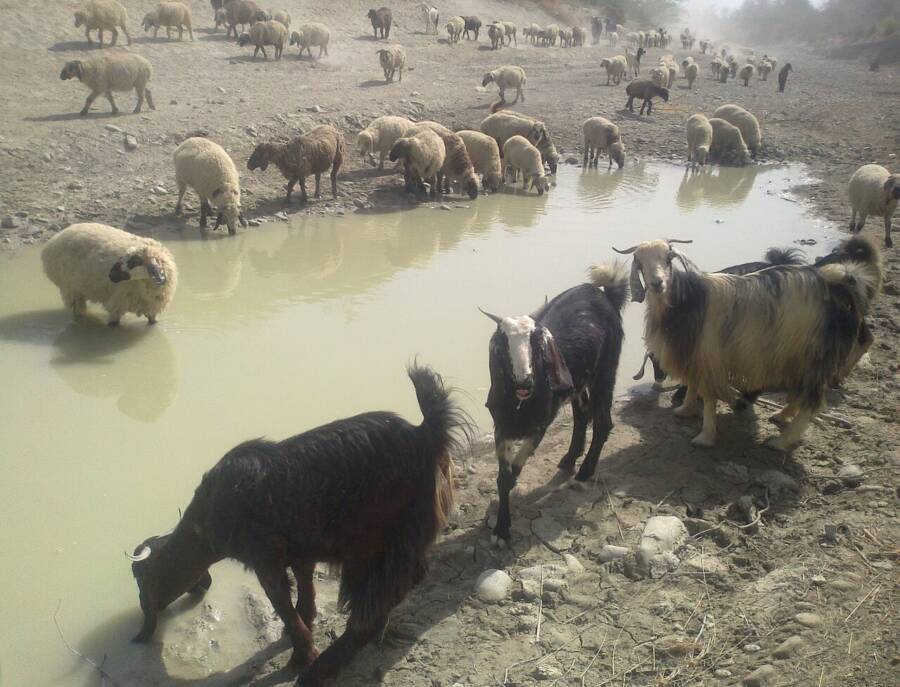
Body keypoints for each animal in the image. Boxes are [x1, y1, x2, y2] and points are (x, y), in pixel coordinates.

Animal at [40, 223, 178, 326]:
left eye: (133, 262)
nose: (111, 275)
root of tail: (51, 243)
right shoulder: (116, 306)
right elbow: (112, 325)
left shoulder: (152, 310)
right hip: (70, 288)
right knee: (77, 311)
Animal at [129, 362, 468, 684]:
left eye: (140, 578)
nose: (140, 630)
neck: (211, 514)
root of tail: (426, 434)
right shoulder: (301, 552)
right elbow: (304, 592)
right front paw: (304, 627)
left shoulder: (266, 562)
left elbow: (284, 607)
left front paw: (301, 656)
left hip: (369, 546)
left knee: (373, 607)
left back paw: (319, 670)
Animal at [482, 264, 628, 544]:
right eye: (502, 344)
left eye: (538, 342)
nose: (525, 382)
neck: (520, 404)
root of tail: (605, 294)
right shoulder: (501, 429)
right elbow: (503, 478)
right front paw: (500, 529)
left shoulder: (539, 427)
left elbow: (513, 473)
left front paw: (502, 529)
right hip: (577, 384)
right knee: (582, 414)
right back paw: (570, 458)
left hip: (606, 370)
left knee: (603, 421)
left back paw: (584, 472)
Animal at [616, 236, 884, 452]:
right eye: (639, 261)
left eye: (668, 258)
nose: (657, 283)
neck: (687, 300)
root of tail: (841, 285)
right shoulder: (697, 354)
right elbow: (693, 385)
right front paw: (685, 409)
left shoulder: (709, 354)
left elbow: (708, 396)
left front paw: (705, 436)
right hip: (795, 355)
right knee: (800, 393)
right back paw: (780, 415)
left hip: (814, 355)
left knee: (811, 401)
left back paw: (781, 442)